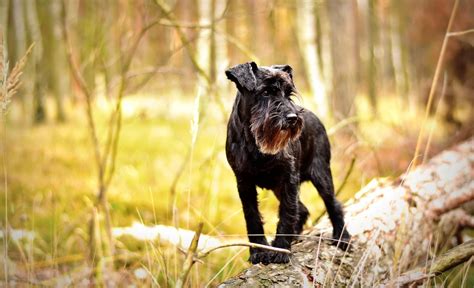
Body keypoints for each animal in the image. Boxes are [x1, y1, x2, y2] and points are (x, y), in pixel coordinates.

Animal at [224, 62, 350, 264]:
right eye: (266, 92)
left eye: (288, 93)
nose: (292, 118)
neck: (255, 142)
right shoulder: (244, 182)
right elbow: (252, 216)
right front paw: (259, 251)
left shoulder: (288, 179)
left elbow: (287, 213)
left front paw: (281, 250)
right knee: (303, 209)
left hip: (321, 175)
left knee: (333, 204)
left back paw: (342, 237)